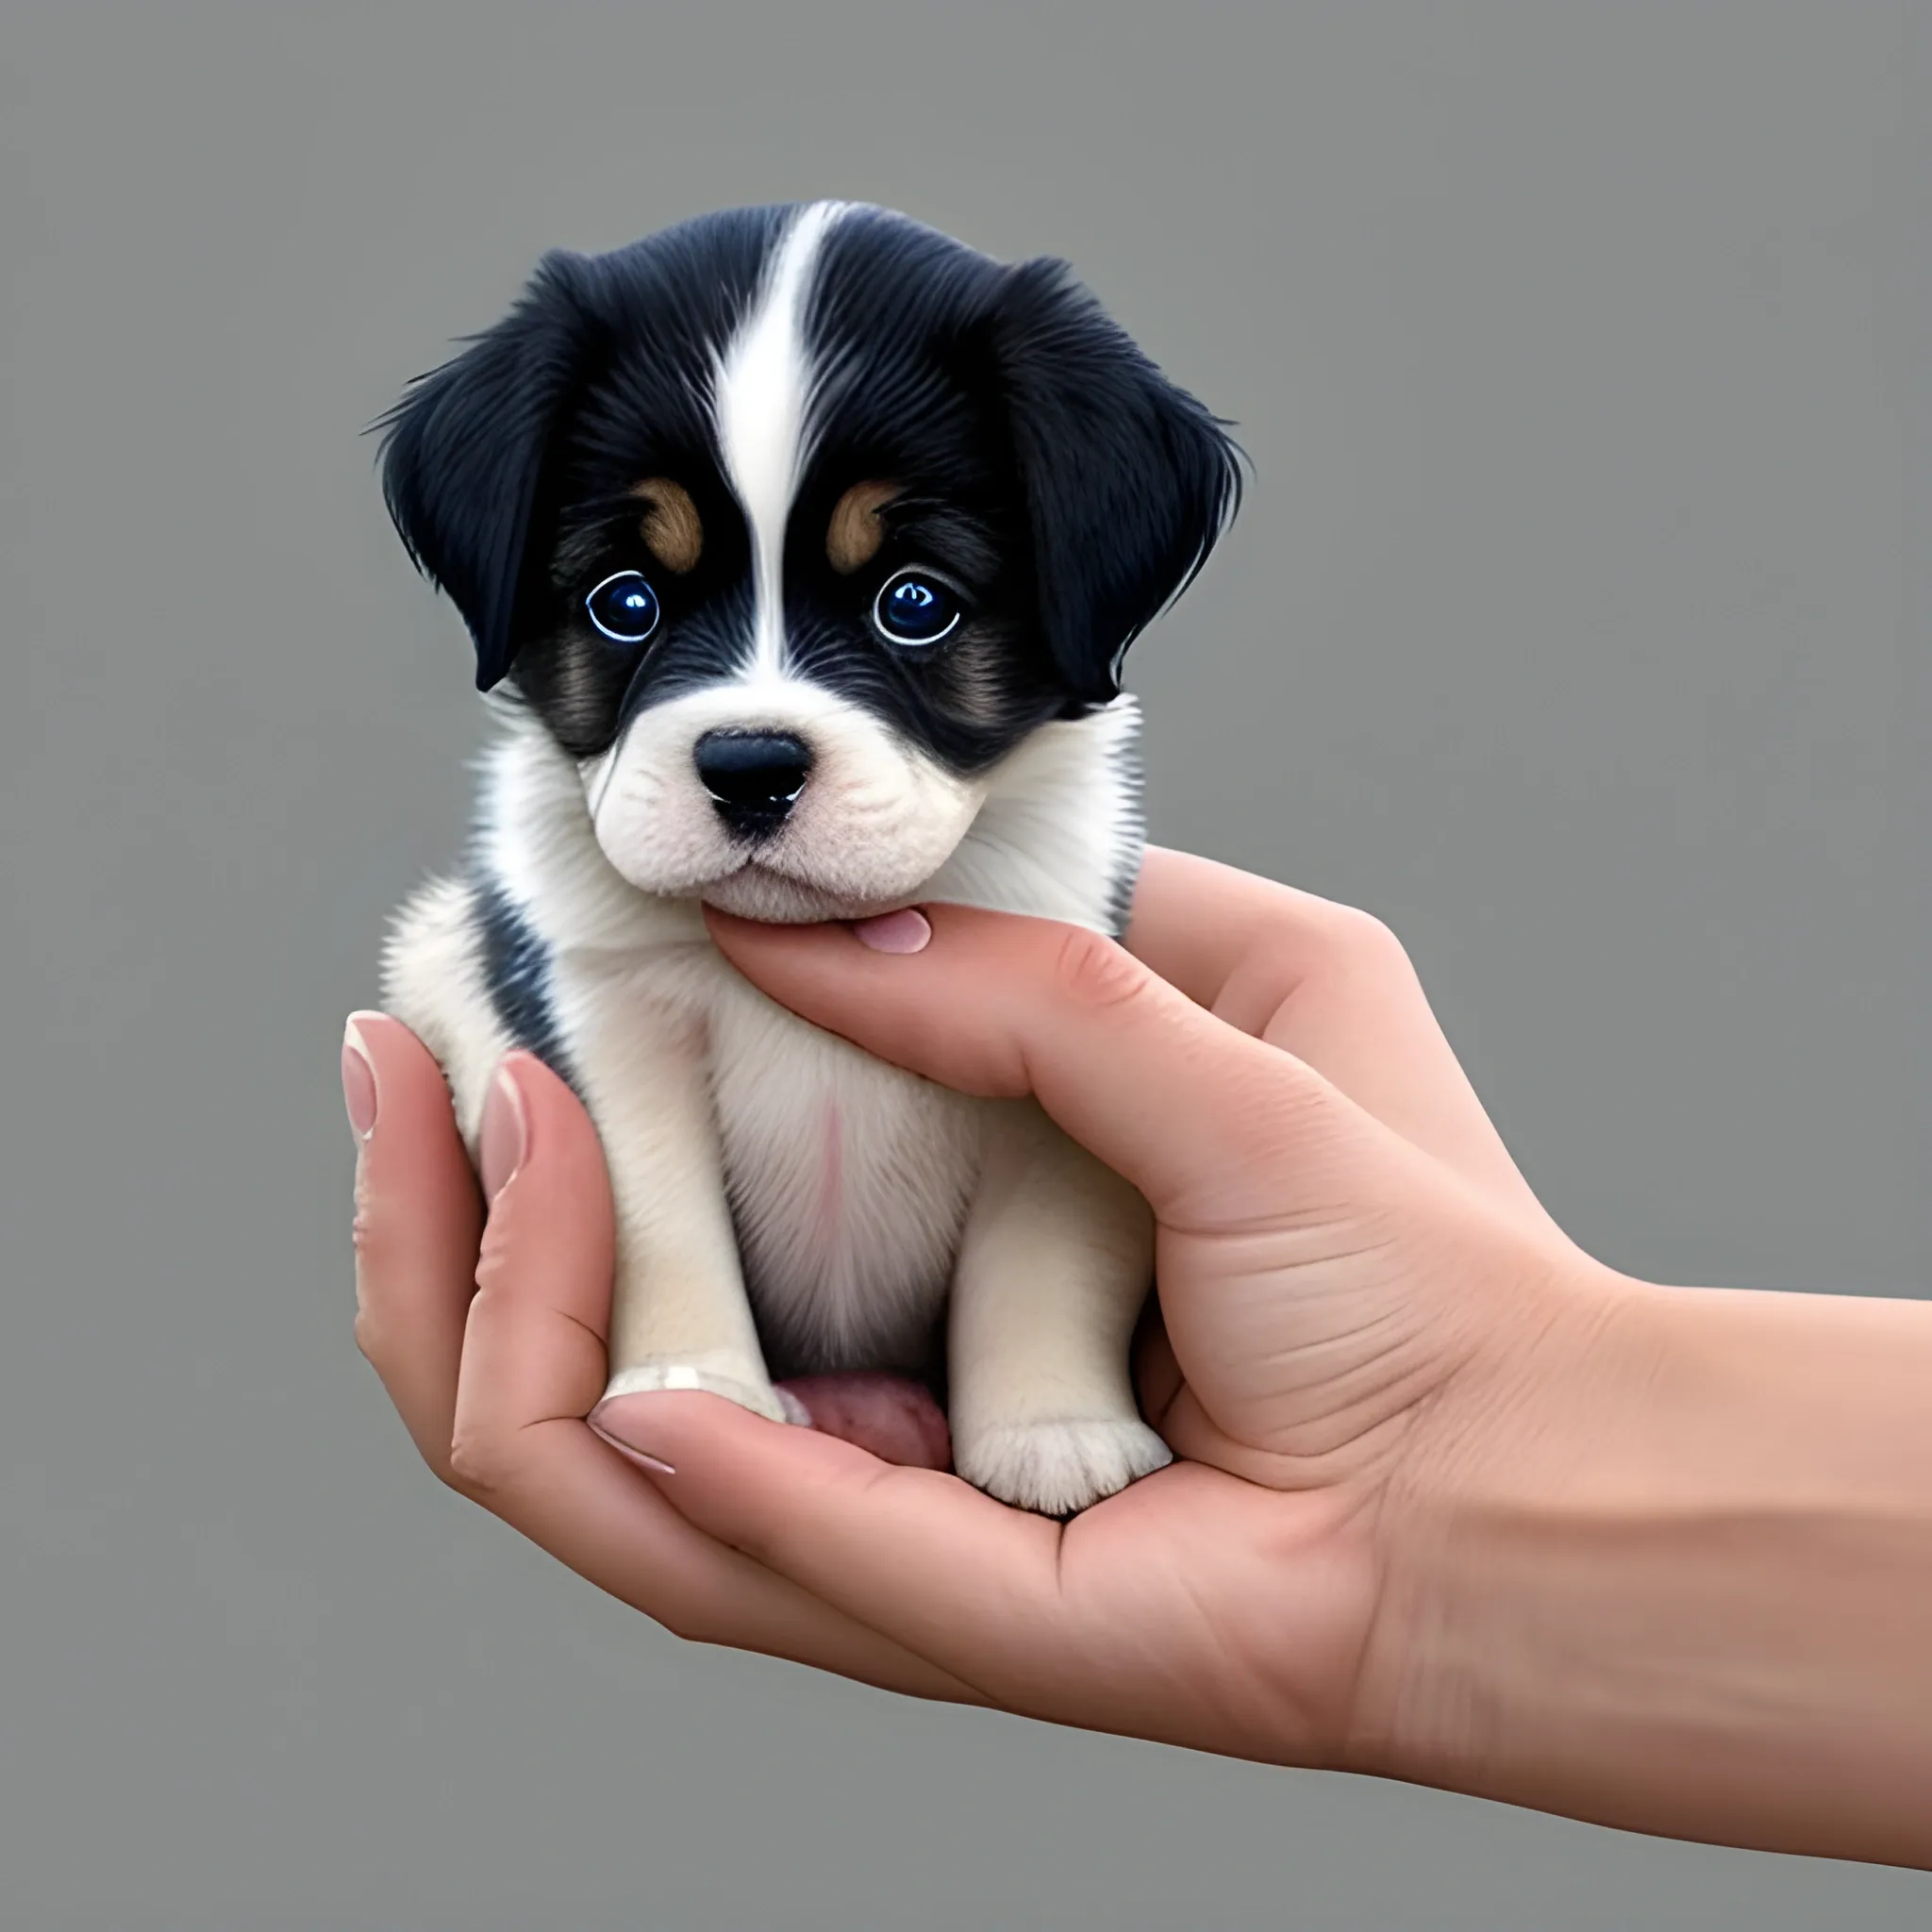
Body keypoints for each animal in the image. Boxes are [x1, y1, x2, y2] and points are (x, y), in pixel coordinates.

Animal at [373, 199, 1236, 1522]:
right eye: (626, 602)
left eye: (914, 603)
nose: (748, 765)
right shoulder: (607, 1021)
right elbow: (655, 1213)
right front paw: (692, 1381)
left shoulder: (1061, 1054)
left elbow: (1040, 1249)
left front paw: (1054, 1426)